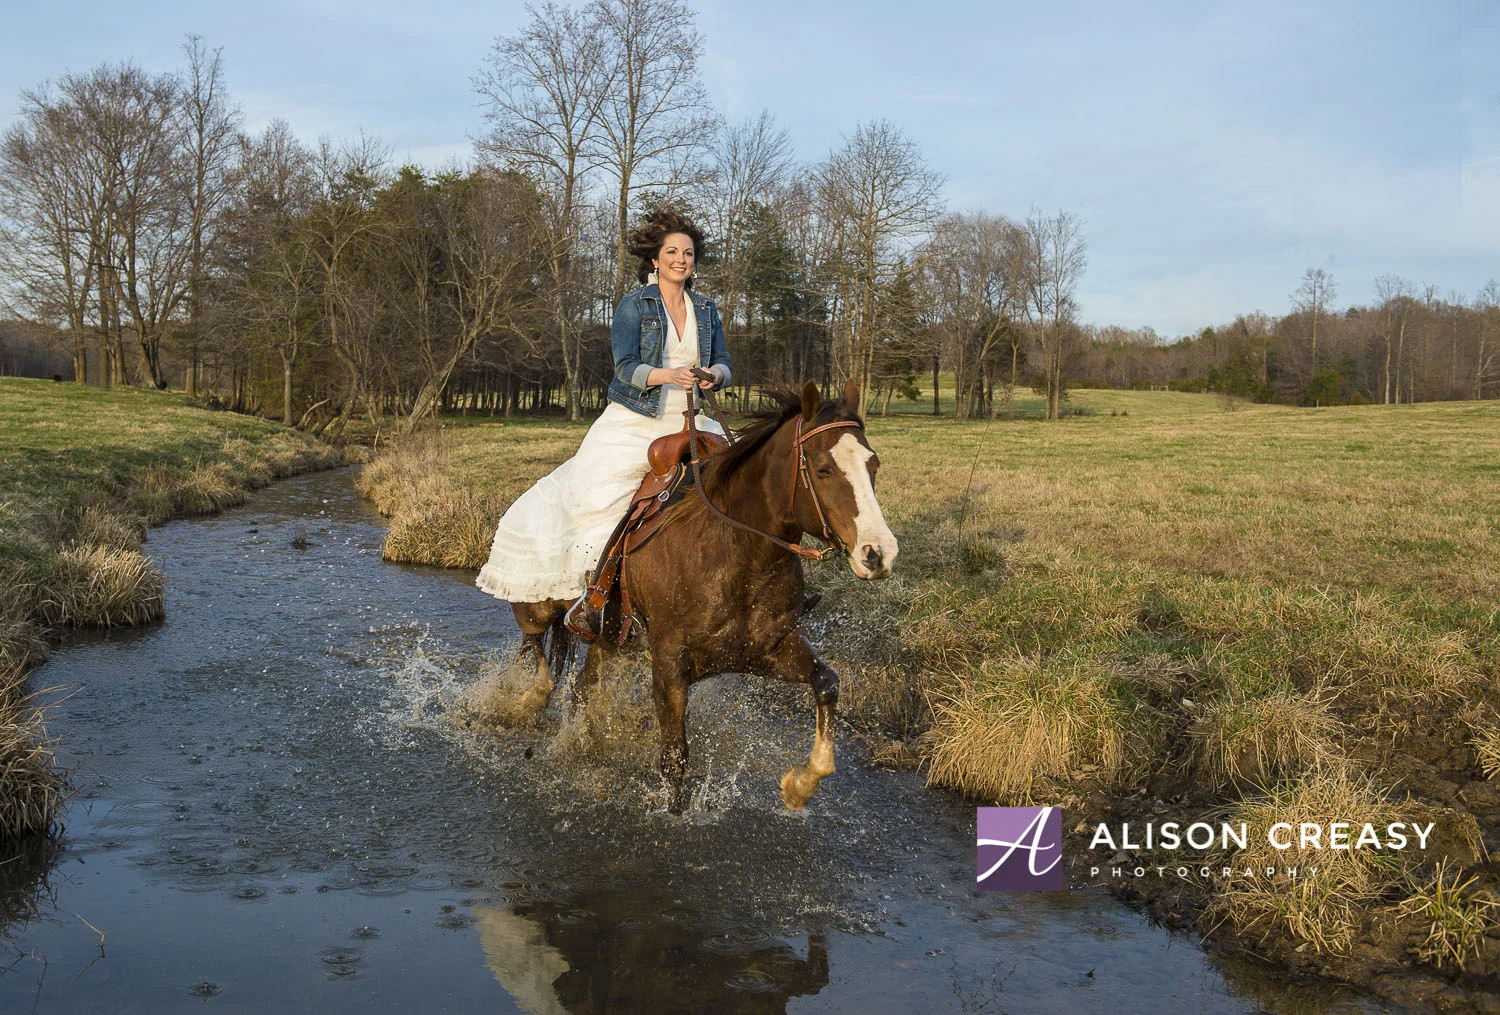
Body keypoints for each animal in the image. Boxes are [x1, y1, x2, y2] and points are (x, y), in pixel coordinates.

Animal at [507, 379, 898, 813]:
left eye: (873, 465)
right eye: (822, 468)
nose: (879, 553)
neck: (737, 554)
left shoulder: (767, 650)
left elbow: (826, 682)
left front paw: (800, 785)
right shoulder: (668, 665)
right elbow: (675, 758)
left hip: (609, 640)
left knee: (580, 690)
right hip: (537, 606)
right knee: (536, 643)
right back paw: (531, 698)